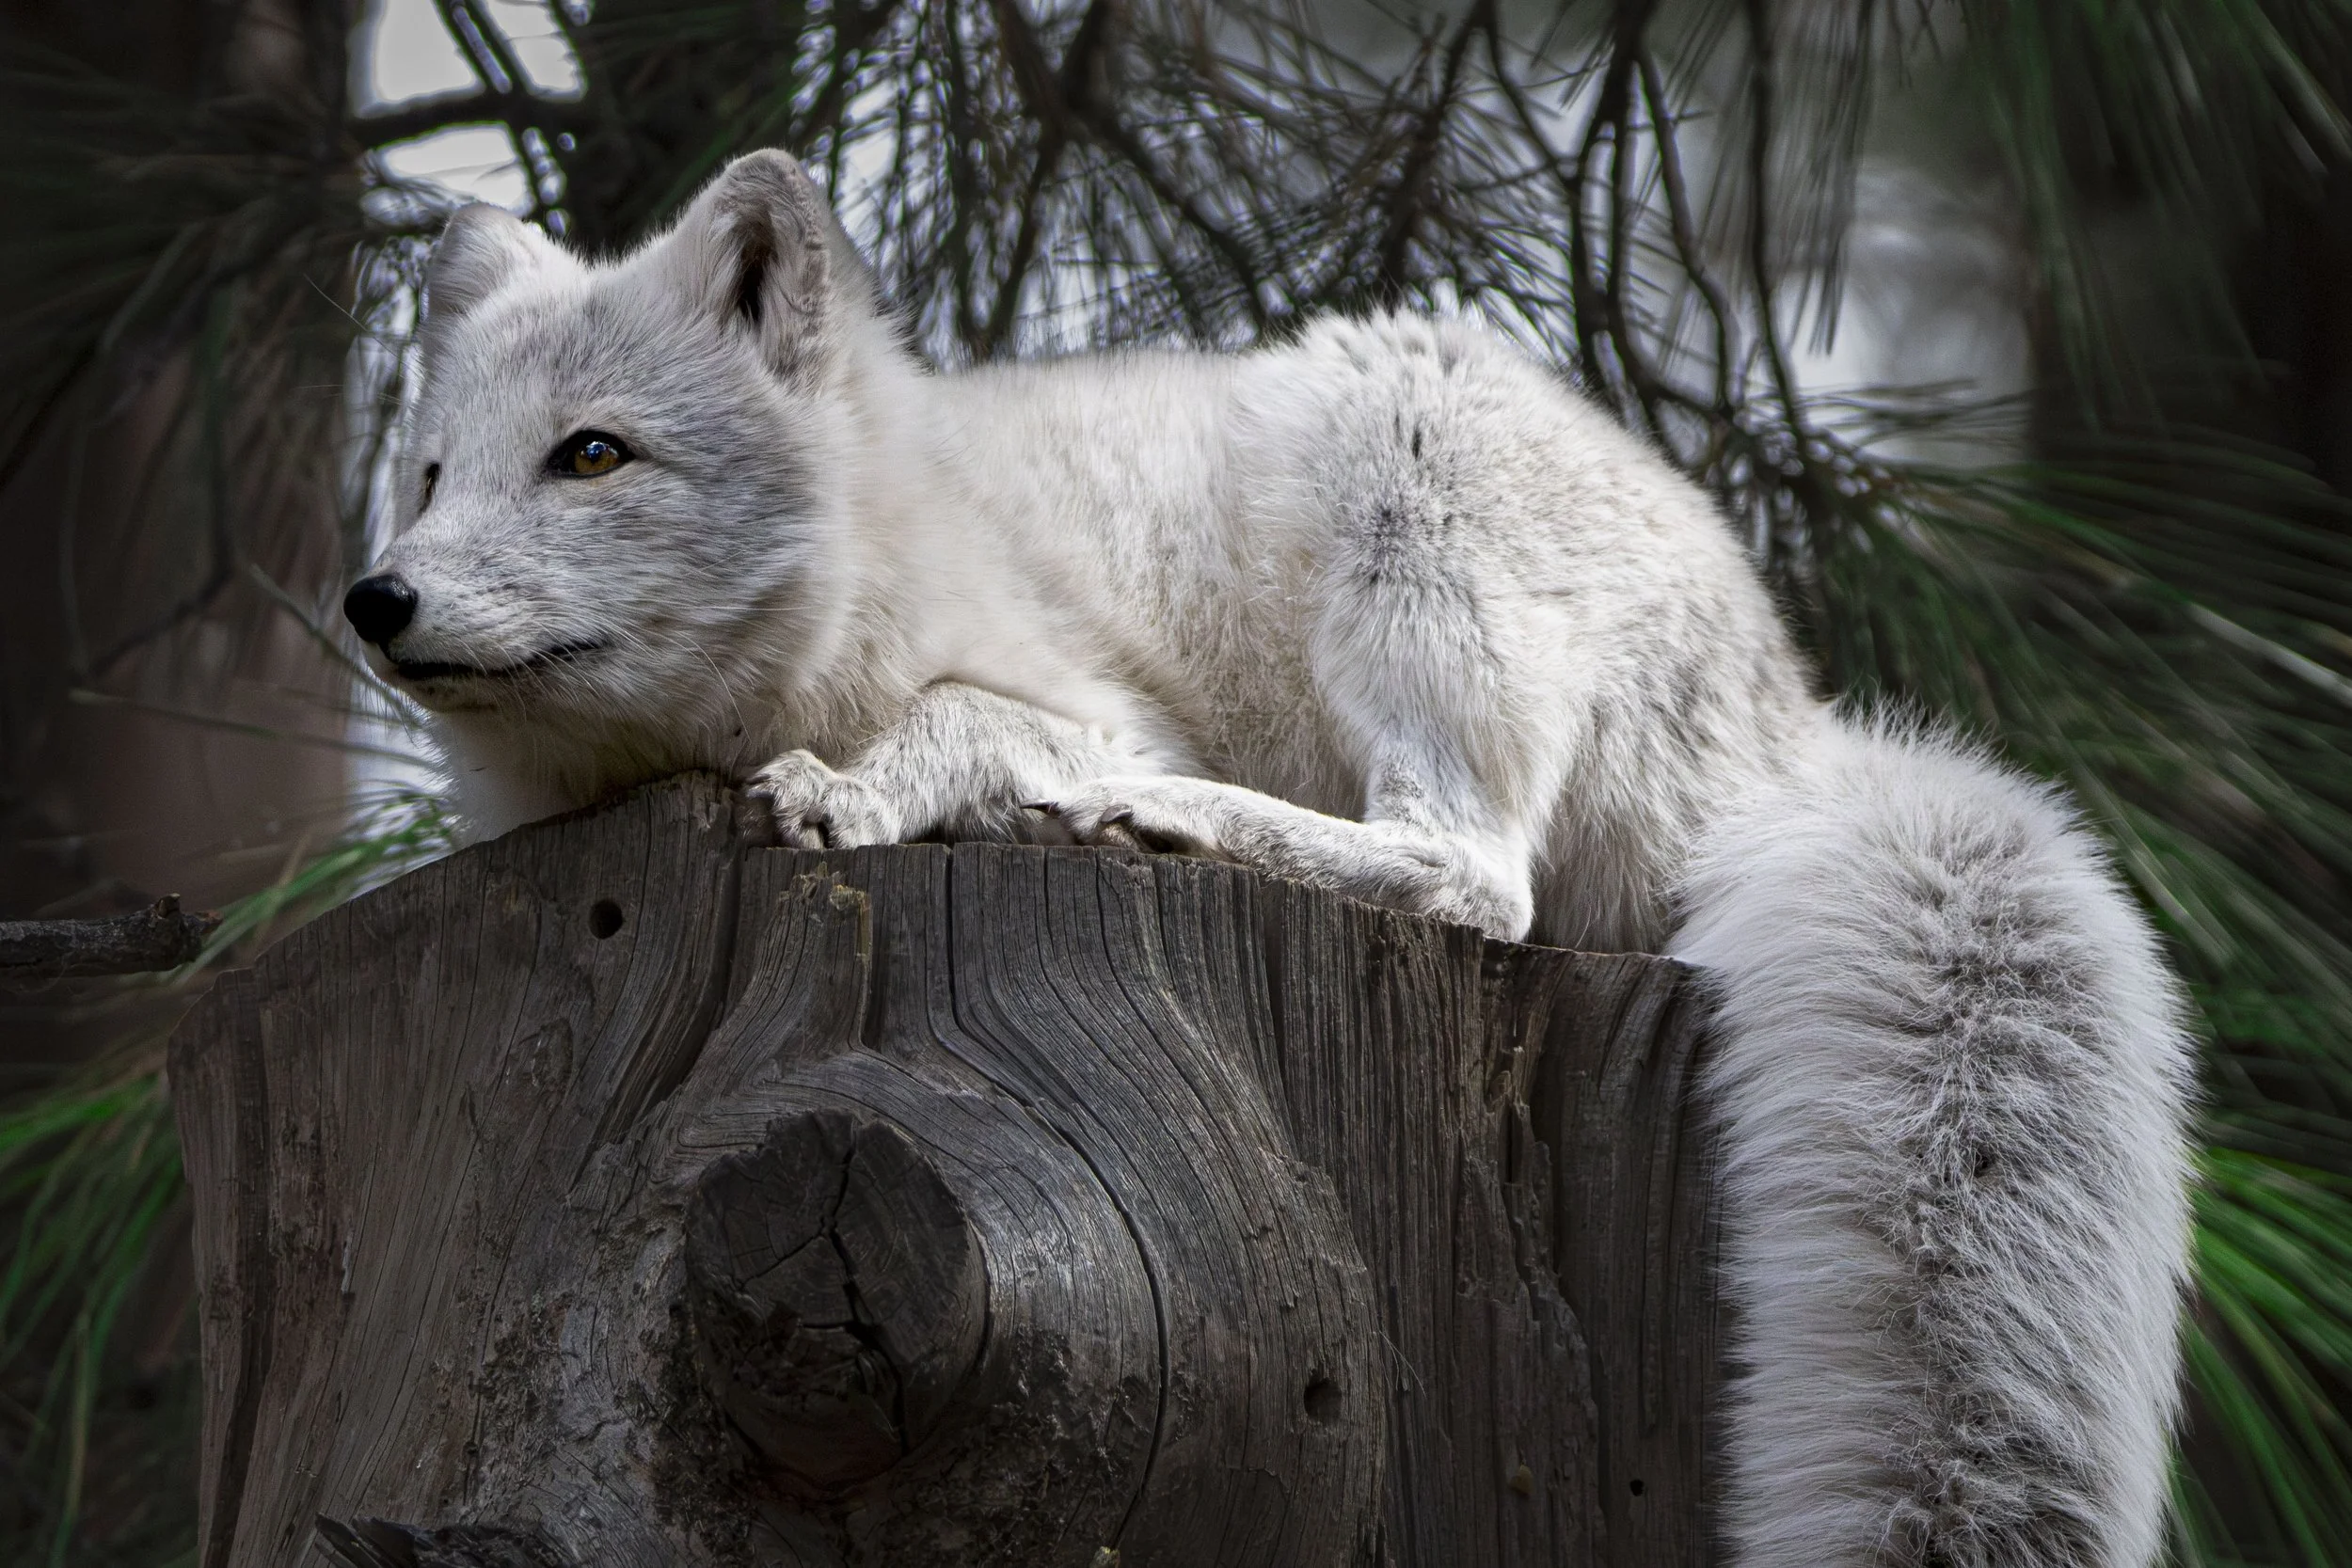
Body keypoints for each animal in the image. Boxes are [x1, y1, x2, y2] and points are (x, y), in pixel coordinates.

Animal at [347, 149, 2195, 1568]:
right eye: (428, 475)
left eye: (592, 454)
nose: (376, 597)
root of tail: (1794, 723)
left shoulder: (1087, 701)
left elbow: (957, 718)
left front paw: (859, 797)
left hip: (1392, 459)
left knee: (1476, 875)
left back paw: (1182, 828)